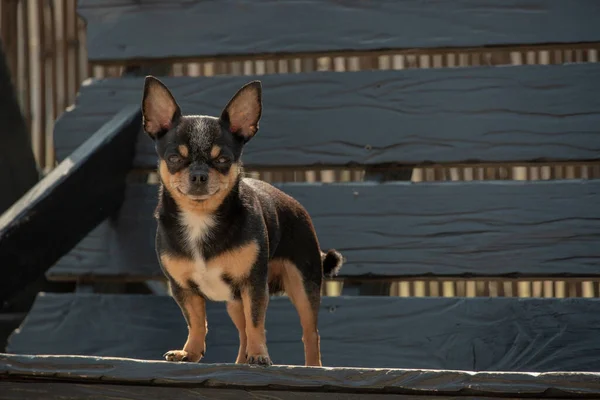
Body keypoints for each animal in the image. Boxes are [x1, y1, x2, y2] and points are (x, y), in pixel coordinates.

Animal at [141, 76, 344, 368]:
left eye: (223, 159)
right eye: (175, 158)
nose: (199, 175)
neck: (201, 218)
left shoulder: (254, 285)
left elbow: (257, 322)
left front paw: (260, 355)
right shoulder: (183, 289)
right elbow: (196, 322)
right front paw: (190, 352)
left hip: (303, 285)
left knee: (309, 333)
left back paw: (312, 367)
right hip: (234, 301)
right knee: (242, 331)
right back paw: (239, 362)